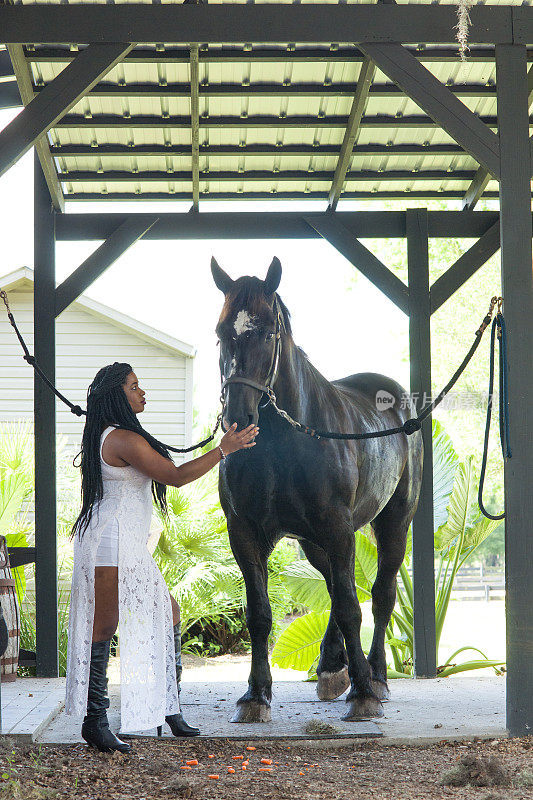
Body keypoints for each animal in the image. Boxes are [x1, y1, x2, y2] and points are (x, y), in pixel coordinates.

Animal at [210, 260, 422, 720]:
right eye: (221, 332)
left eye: (268, 332)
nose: (237, 419)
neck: (284, 441)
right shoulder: (246, 533)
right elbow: (259, 614)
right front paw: (255, 695)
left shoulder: (338, 528)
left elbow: (349, 607)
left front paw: (362, 693)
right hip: (314, 541)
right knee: (337, 585)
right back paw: (330, 666)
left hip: (393, 523)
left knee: (379, 596)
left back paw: (377, 677)